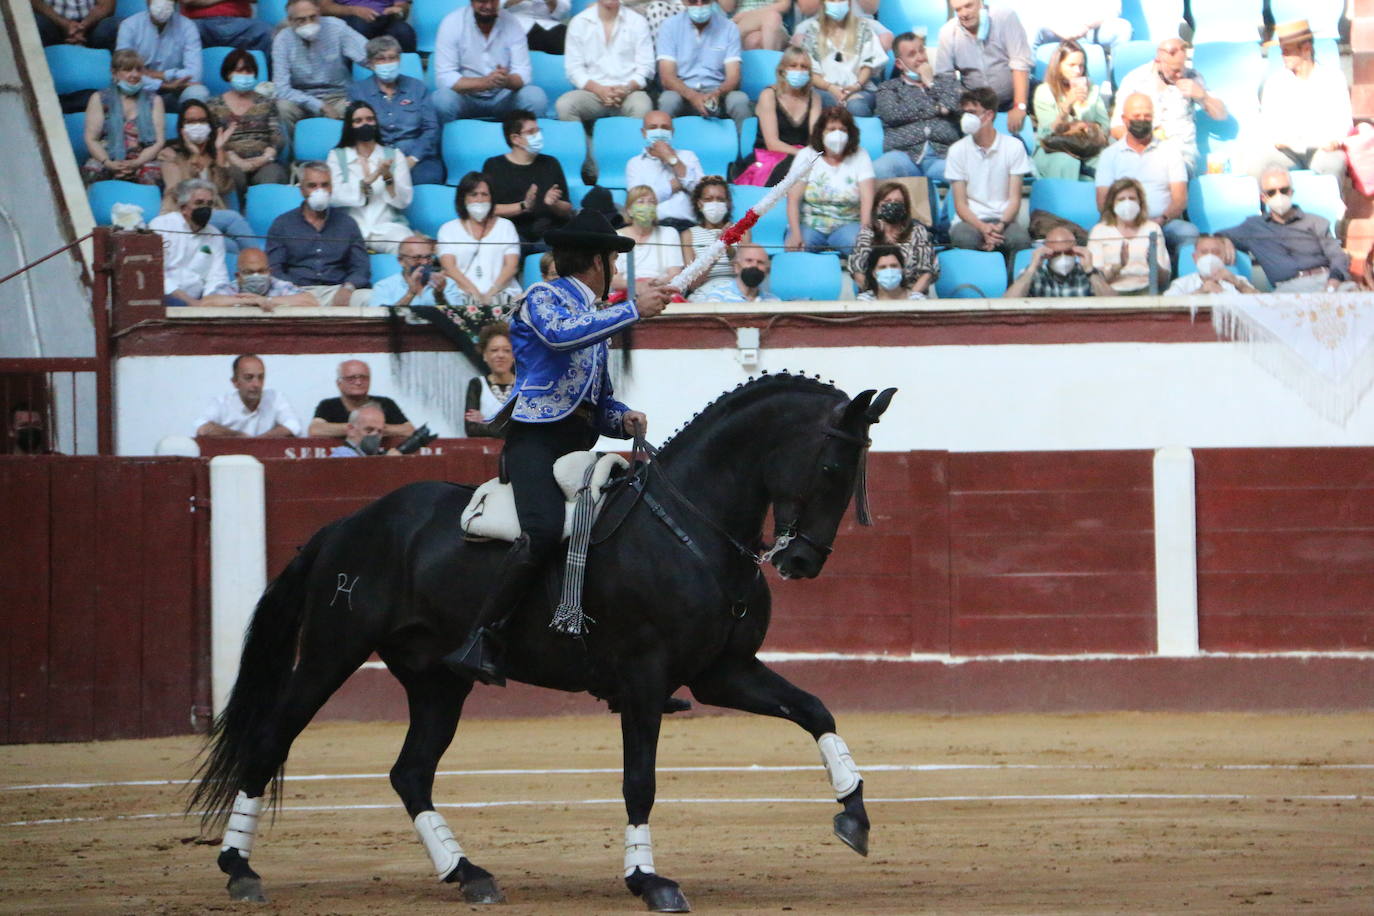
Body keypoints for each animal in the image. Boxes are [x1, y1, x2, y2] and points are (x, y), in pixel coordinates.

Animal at [193, 373, 895, 911]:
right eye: (831, 464)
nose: (802, 561)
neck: (690, 524)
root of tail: (346, 524)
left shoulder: (724, 670)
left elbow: (814, 710)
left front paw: (854, 816)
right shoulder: (645, 679)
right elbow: (639, 782)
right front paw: (649, 881)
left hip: (436, 680)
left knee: (411, 772)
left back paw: (468, 874)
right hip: (331, 652)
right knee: (270, 740)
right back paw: (240, 869)